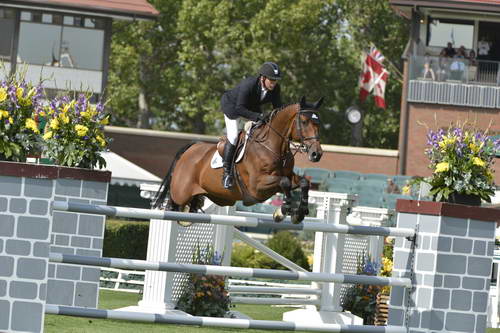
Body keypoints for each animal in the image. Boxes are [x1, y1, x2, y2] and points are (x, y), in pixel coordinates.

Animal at [152, 97, 324, 224]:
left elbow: (303, 182)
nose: (317, 154)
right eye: (304, 121)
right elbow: (284, 182)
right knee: (172, 204)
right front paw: (282, 211)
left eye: (318, 123)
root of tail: (191, 148)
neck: (272, 146)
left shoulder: (287, 176)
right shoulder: (257, 186)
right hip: (180, 193)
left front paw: (299, 213)